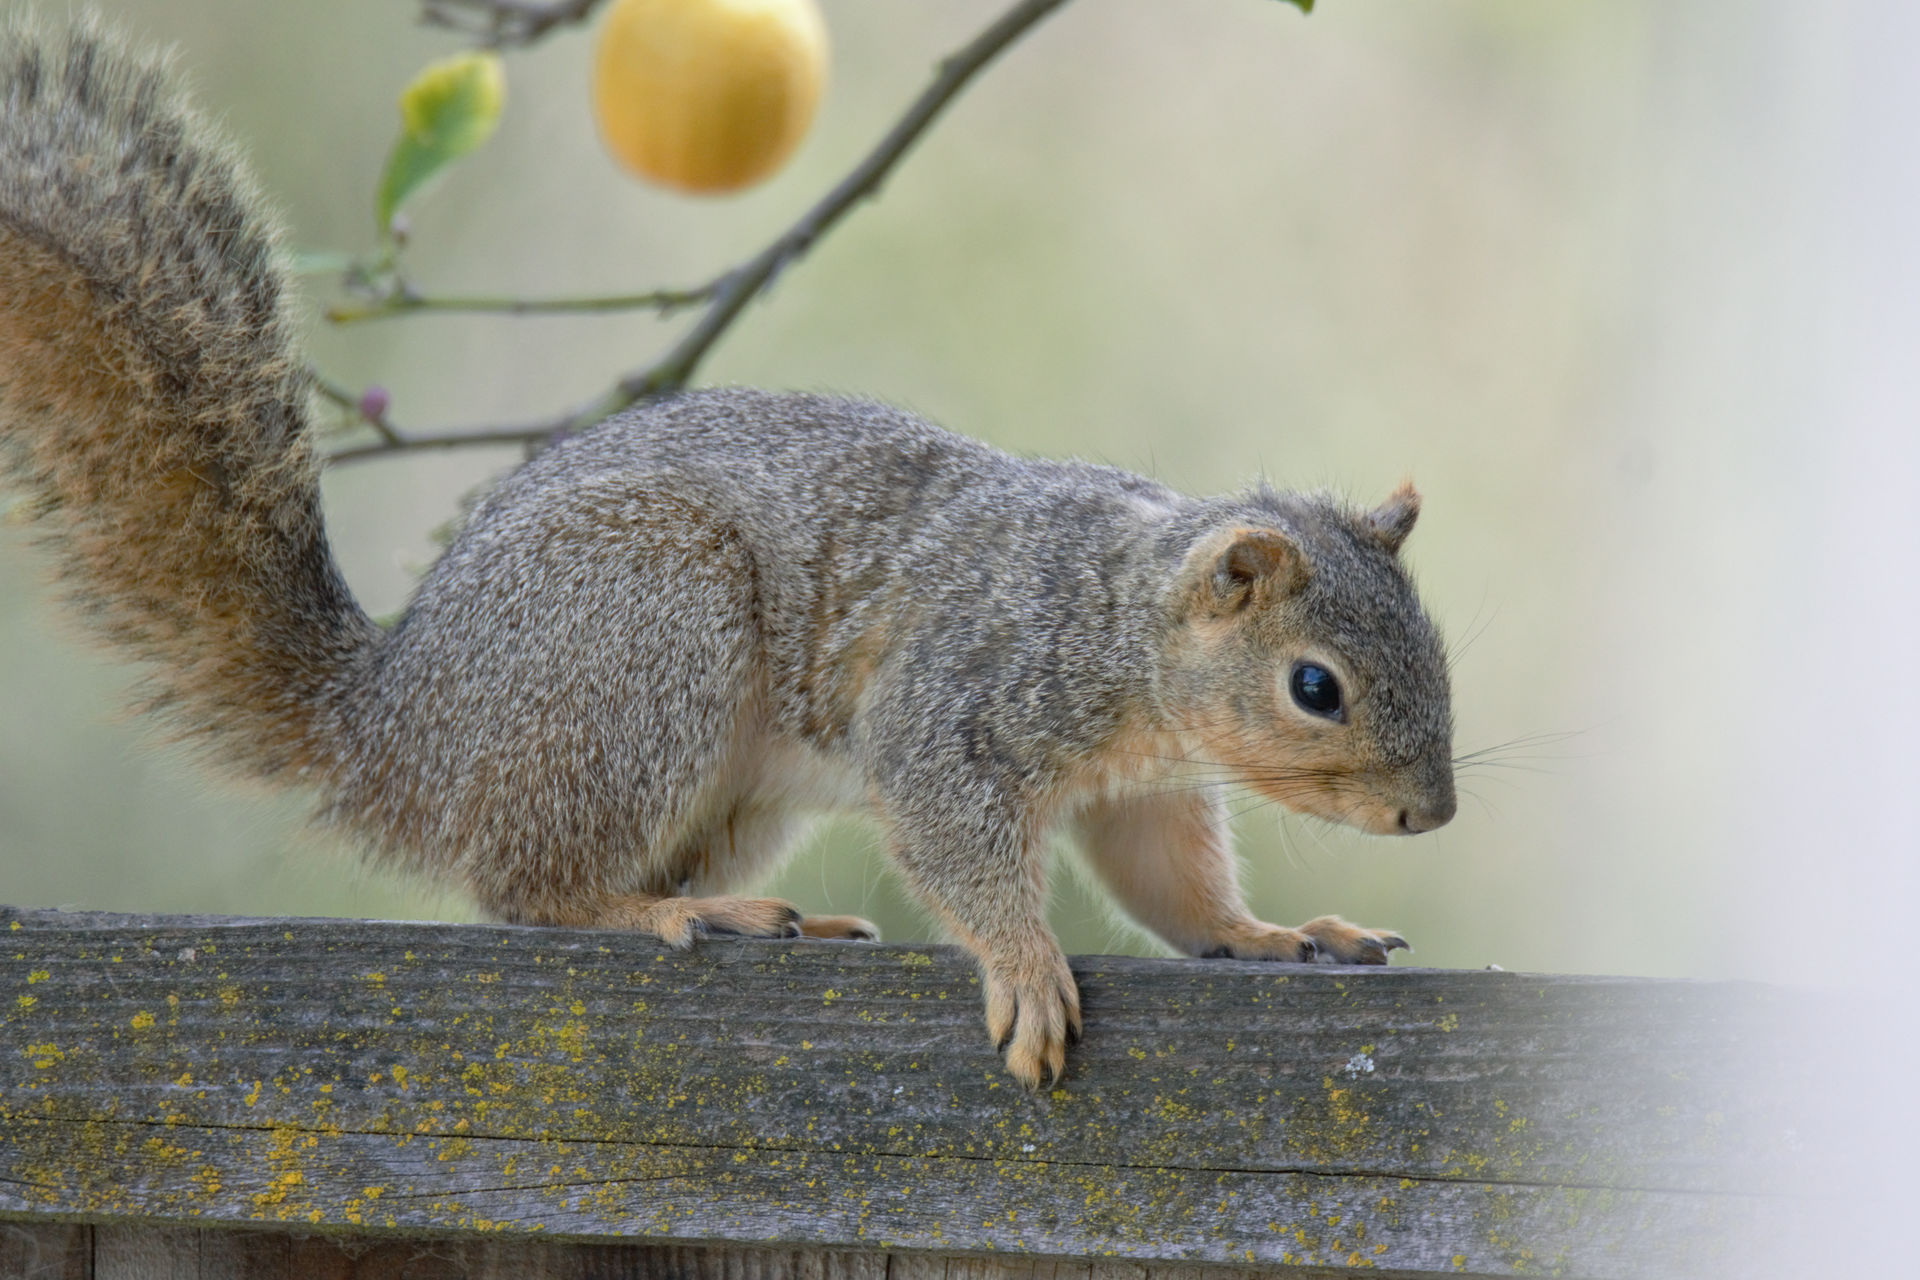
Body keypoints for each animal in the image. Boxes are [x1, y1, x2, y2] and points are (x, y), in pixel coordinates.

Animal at [0, 19, 1456, 1087]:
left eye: (1436, 647)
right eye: (1314, 686)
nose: (1428, 816)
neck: (1120, 617)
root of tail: (393, 734)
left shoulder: (1140, 788)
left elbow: (1175, 885)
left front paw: (1275, 935)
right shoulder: (958, 701)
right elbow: (959, 840)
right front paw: (1029, 968)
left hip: (725, 778)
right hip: (647, 638)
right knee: (527, 889)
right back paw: (652, 914)